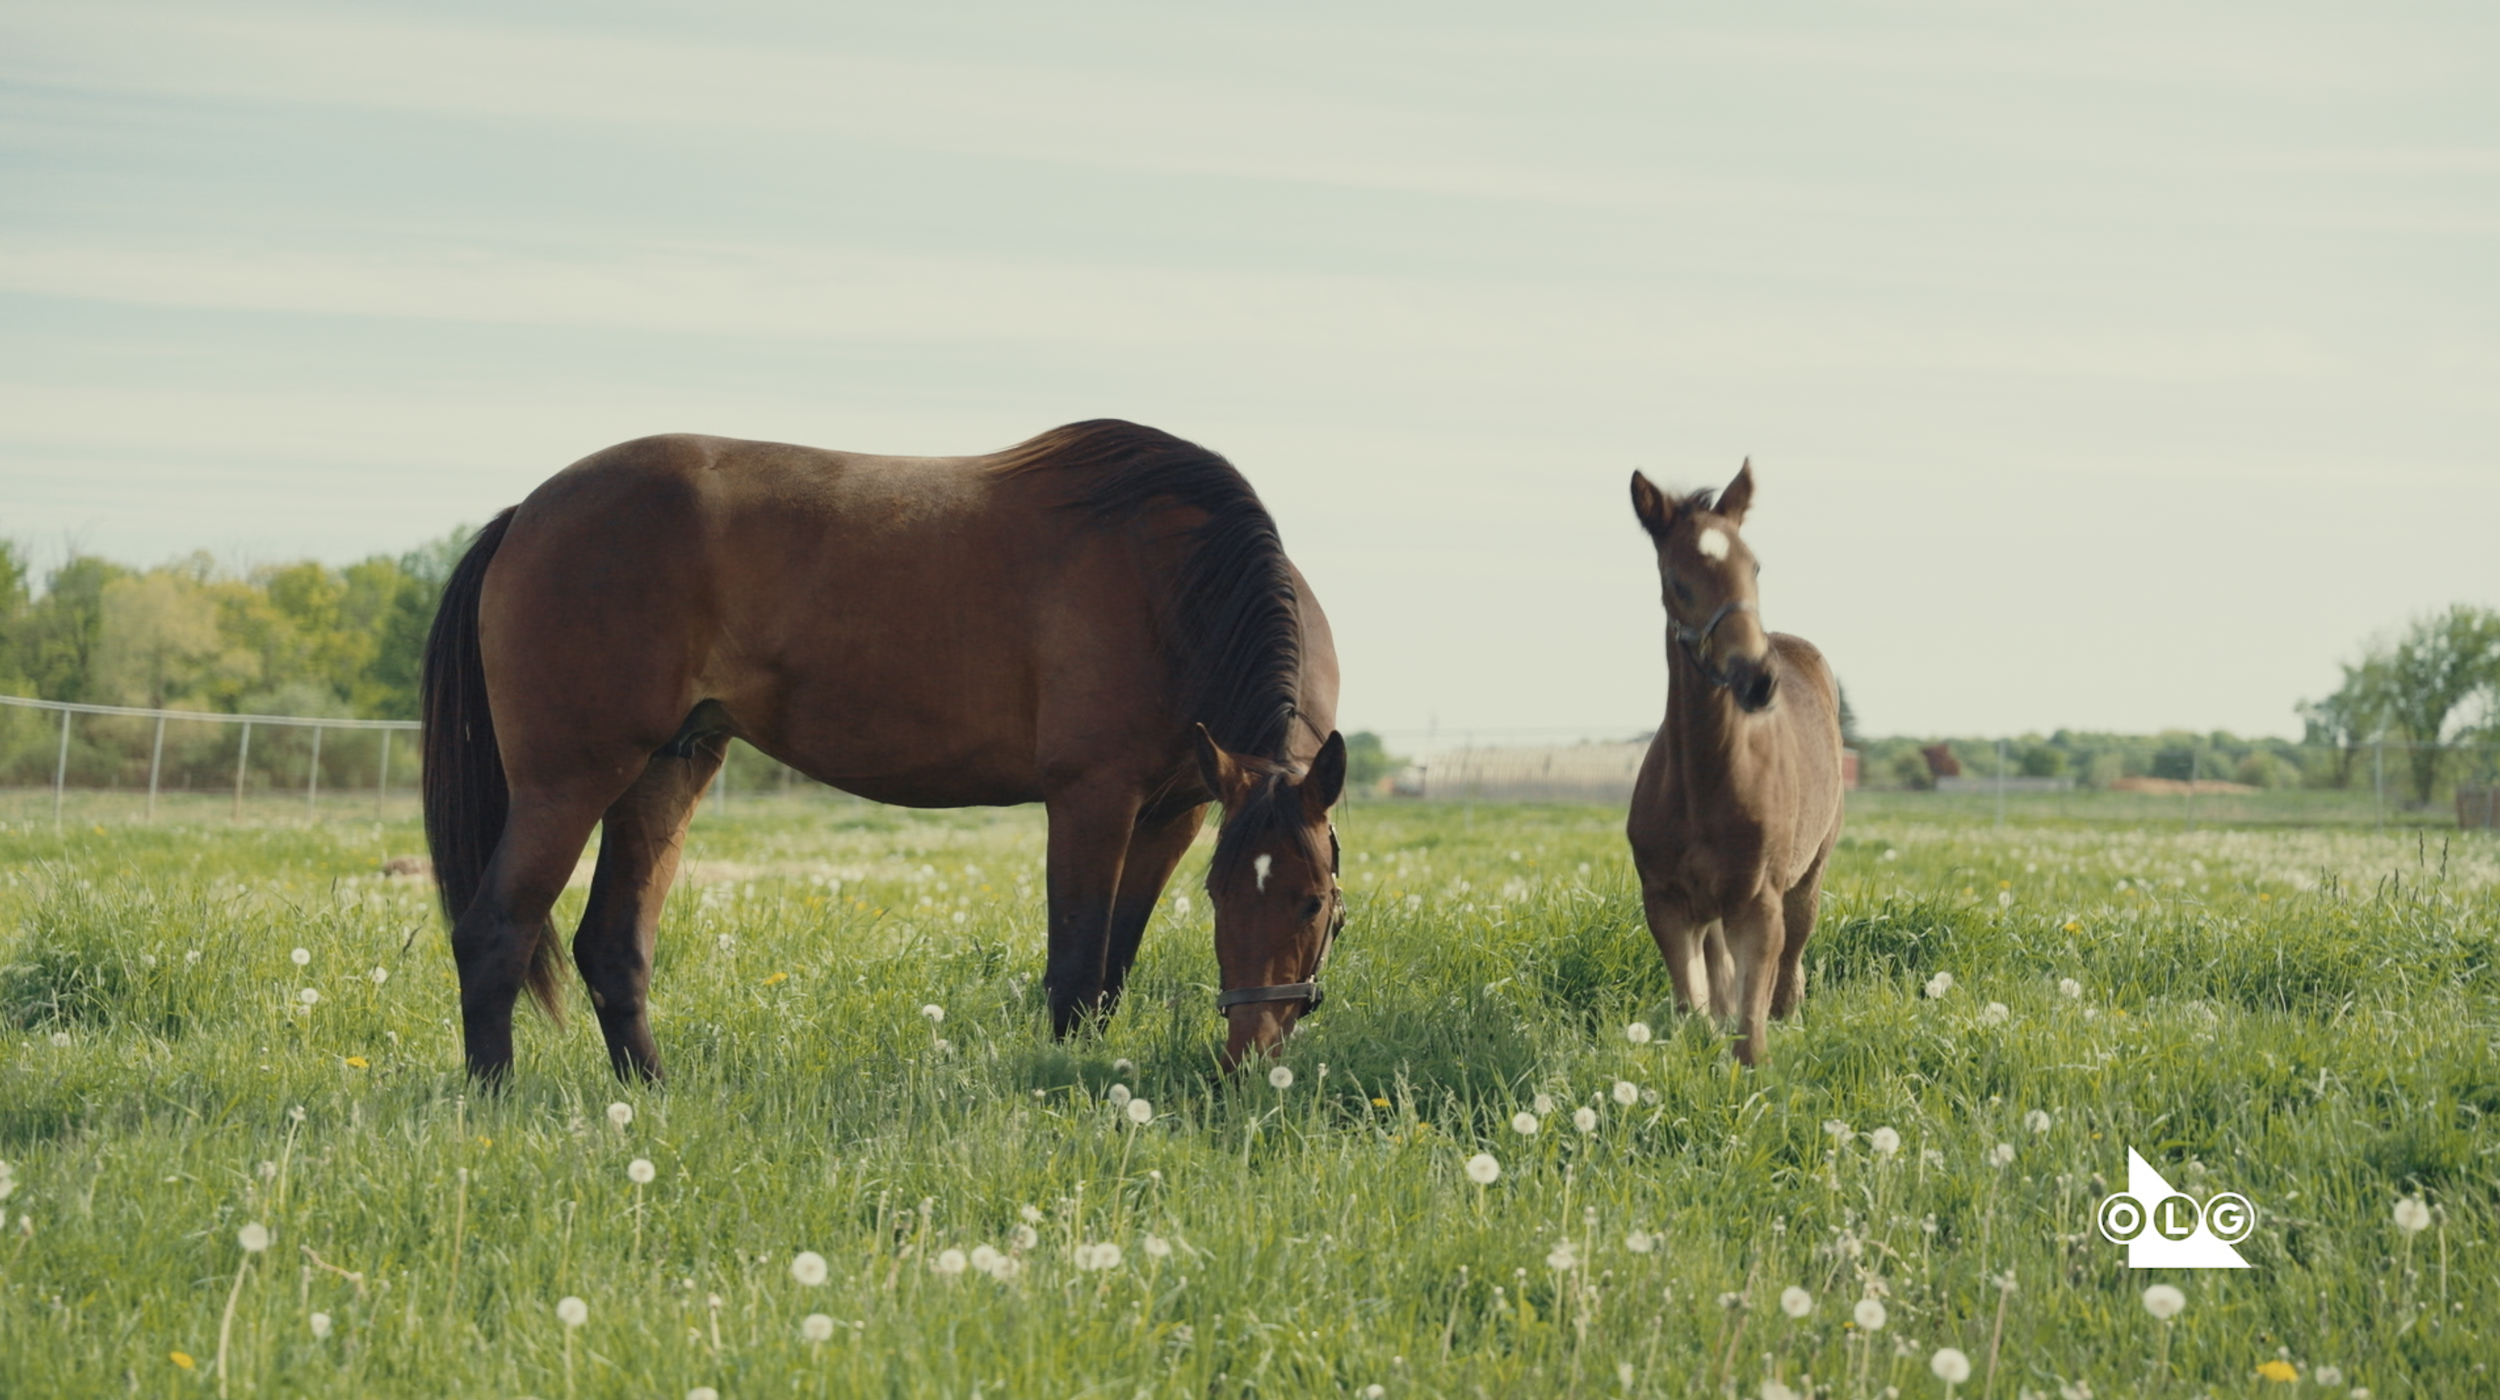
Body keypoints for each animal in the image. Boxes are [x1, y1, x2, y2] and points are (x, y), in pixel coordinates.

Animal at [419, 419, 1347, 1084]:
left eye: (1311, 901)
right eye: (1232, 897)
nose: (1250, 1058)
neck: (1174, 582)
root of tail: (524, 514)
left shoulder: (1174, 814)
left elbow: (1113, 971)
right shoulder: (1092, 796)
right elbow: (1076, 968)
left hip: (667, 771)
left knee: (613, 945)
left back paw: (649, 1094)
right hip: (568, 781)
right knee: (495, 932)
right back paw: (495, 1102)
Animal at [1624, 462, 1843, 1065]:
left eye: (1755, 566)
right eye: (1678, 580)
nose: (1758, 678)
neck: (1705, 783)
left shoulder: (1758, 902)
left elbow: (1751, 1031)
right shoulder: (1665, 901)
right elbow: (1692, 1006)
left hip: (1809, 871)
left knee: (1793, 952)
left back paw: (1791, 1011)